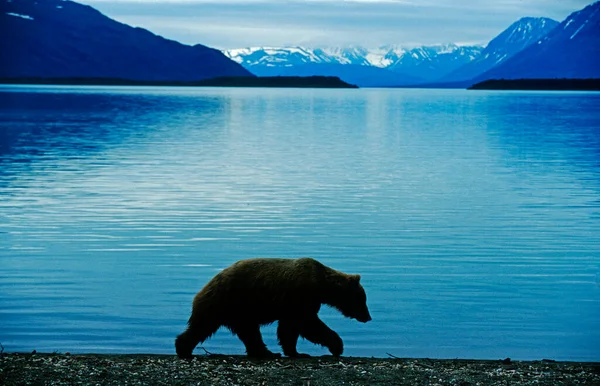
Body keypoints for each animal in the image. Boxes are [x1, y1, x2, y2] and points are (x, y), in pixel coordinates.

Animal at [173, 256, 370, 358]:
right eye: (362, 299)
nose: (368, 317)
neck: (322, 287)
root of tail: (205, 287)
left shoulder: (296, 303)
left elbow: (290, 328)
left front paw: (294, 351)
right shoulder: (300, 296)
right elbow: (307, 324)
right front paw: (337, 345)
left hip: (237, 310)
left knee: (245, 332)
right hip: (227, 302)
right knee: (205, 326)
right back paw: (183, 348)